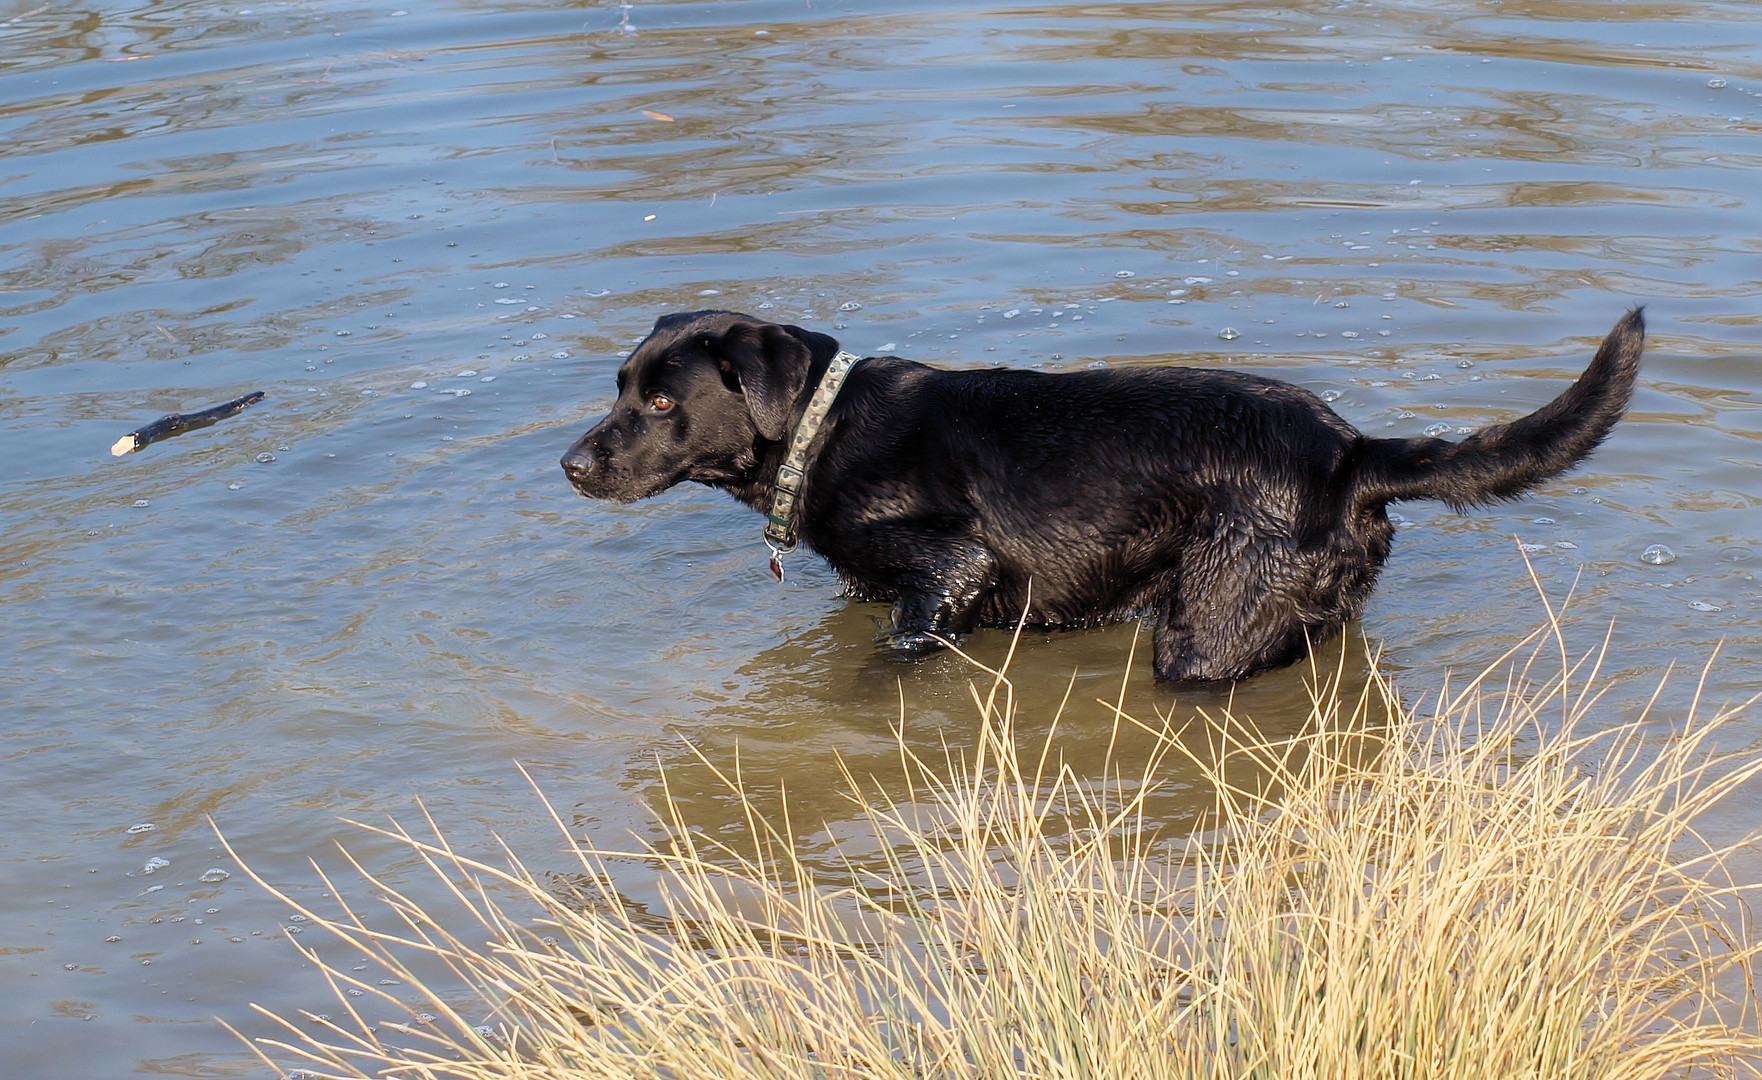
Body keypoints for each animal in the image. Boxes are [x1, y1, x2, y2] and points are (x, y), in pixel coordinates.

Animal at [560, 310, 1635, 683]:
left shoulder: (949, 570)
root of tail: (1351, 456)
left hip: (1205, 632)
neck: (823, 430)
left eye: (663, 400)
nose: (570, 463)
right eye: (619, 384)